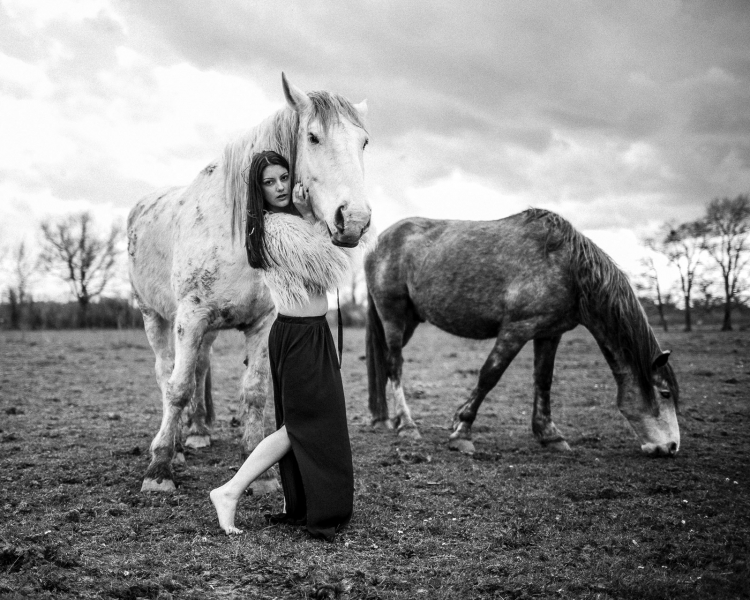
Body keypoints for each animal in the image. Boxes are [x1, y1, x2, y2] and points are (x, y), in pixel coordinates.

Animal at [128, 72, 372, 492]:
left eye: (364, 142)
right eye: (313, 137)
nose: (354, 220)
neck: (239, 230)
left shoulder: (262, 322)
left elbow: (254, 391)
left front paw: (262, 472)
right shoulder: (190, 317)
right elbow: (178, 388)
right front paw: (159, 470)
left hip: (206, 329)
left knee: (201, 366)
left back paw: (197, 432)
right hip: (154, 316)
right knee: (167, 373)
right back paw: (175, 448)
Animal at [368, 209, 684, 458]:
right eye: (665, 393)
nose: (671, 447)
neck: (566, 267)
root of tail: (378, 242)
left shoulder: (549, 333)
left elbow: (543, 380)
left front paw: (550, 436)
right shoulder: (516, 329)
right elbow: (489, 376)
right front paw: (462, 433)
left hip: (410, 321)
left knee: (385, 362)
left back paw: (385, 420)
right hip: (393, 316)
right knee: (395, 365)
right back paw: (407, 426)